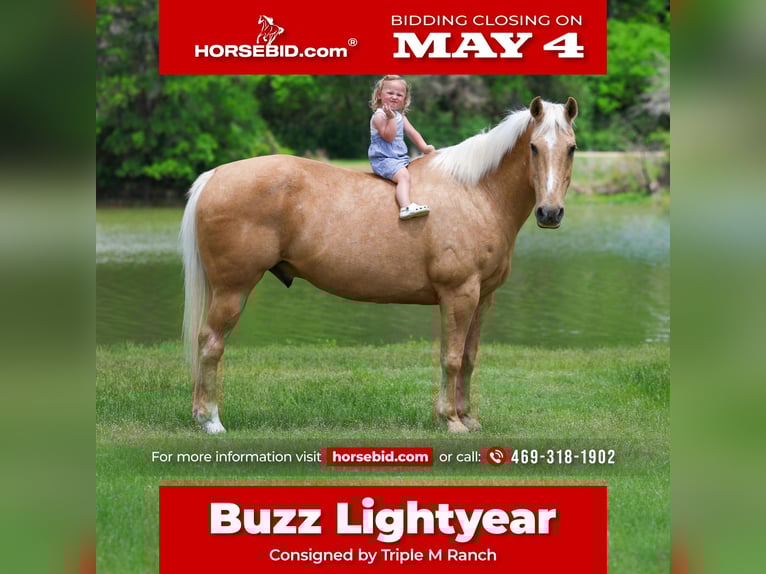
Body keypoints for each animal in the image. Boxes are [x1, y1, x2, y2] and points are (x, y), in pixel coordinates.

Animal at [181, 96, 578, 434]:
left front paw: (466, 418)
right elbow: (450, 358)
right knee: (211, 343)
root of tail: (215, 175)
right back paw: (211, 421)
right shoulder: (459, 294)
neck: (475, 193)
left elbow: (467, 358)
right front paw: (451, 421)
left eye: (571, 148)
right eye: (533, 147)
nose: (550, 213)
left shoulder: (482, 298)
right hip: (233, 289)